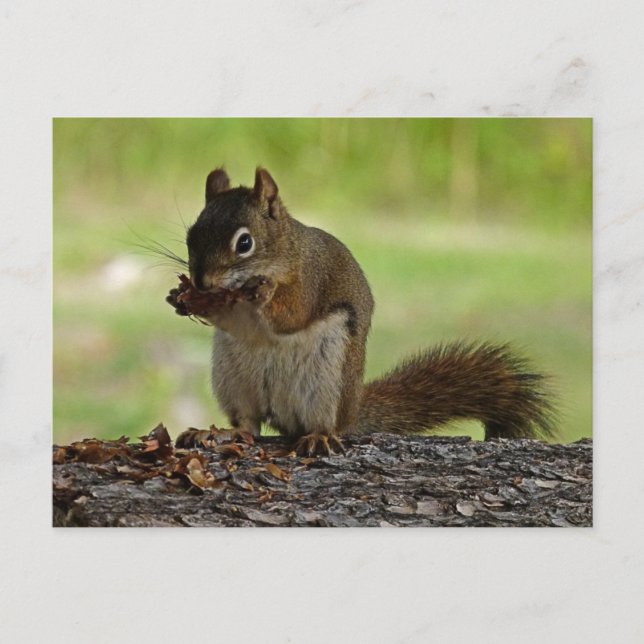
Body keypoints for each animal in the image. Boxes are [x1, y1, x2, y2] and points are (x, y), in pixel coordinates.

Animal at [166, 167, 556, 456]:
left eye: (244, 242)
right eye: (190, 236)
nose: (201, 281)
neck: (284, 253)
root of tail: (352, 412)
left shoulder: (312, 279)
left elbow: (293, 315)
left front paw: (263, 293)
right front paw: (179, 298)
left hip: (329, 380)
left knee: (323, 424)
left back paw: (318, 436)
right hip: (233, 378)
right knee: (247, 425)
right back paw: (219, 433)